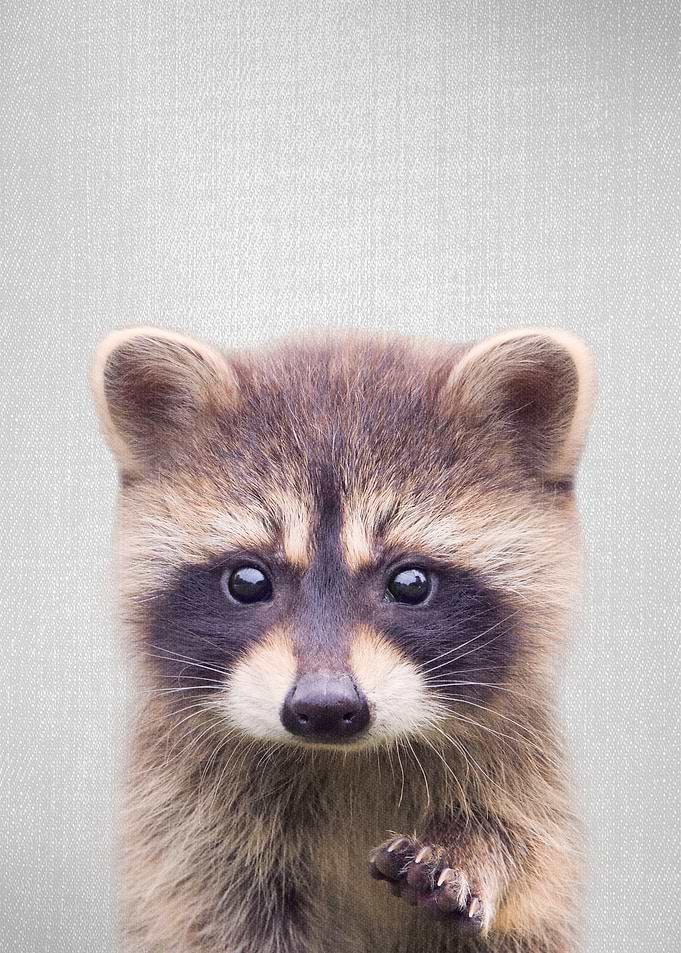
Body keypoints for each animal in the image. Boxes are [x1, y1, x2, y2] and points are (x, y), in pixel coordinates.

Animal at [91, 326, 594, 953]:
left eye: (410, 582)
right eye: (248, 581)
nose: (326, 707)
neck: (344, 759)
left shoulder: (523, 767)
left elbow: (529, 851)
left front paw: (476, 853)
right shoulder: (186, 823)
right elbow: (211, 912)